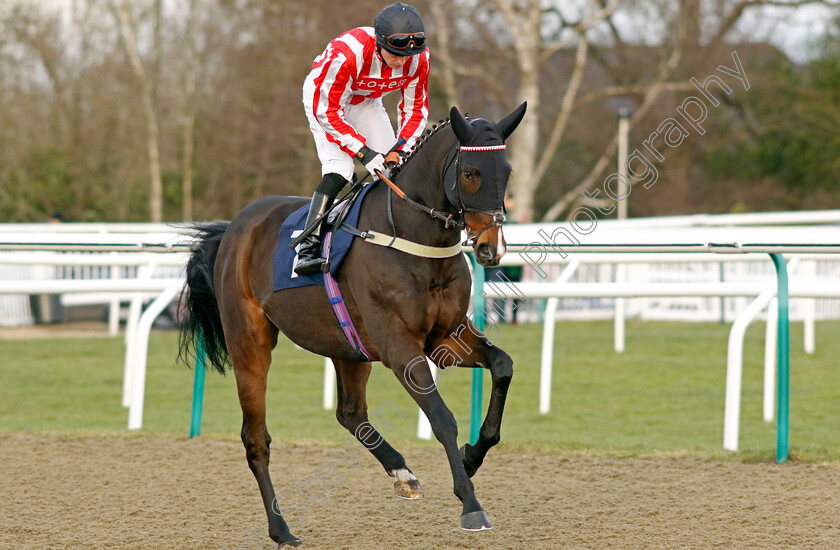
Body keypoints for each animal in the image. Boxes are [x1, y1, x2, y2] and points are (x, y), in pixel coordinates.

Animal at [180, 102, 524, 548]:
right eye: (470, 173)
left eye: (508, 170)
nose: (490, 249)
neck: (413, 239)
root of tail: (233, 227)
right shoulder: (400, 347)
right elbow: (442, 417)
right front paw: (471, 505)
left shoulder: (445, 338)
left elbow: (502, 366)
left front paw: (473, 454)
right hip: (249, 341)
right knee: (256, 439)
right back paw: (281, 528)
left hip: (348, 345)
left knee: (350, 413)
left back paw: (402, 473)